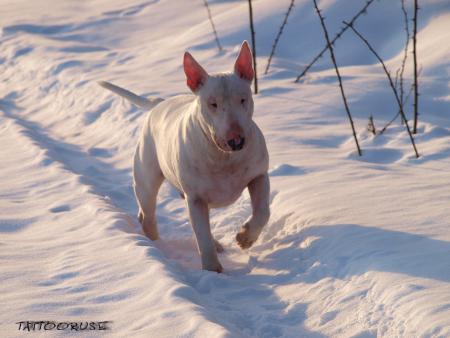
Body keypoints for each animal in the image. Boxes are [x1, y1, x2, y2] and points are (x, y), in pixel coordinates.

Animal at [100, 41, 268, 272]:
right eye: (212, 104)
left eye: (243, 99)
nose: (236, 141)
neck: (223, 157)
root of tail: (157, 104)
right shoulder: (195, 198)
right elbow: (202, 236)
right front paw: (213, 270)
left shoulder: (259, 175)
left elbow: (263, 211)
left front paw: (245, 238)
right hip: (146, 179)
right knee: (148, 215)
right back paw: (156, 247)